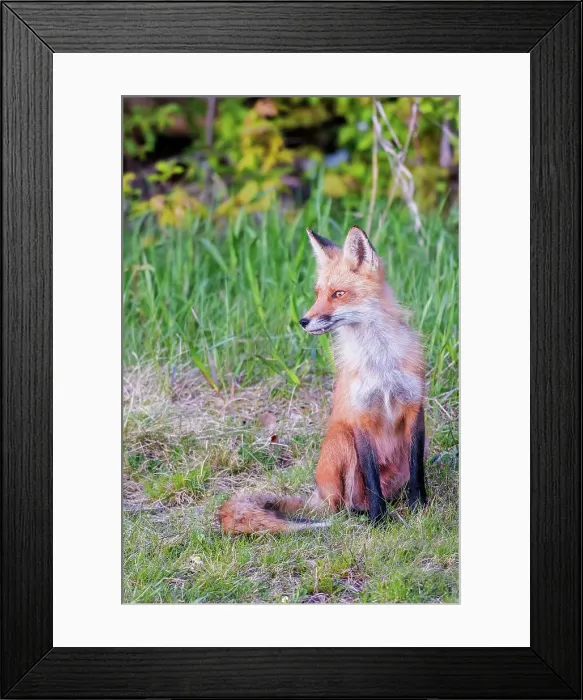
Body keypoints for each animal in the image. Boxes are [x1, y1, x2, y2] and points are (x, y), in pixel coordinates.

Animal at [219, 225, 427, 534]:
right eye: (318, 293)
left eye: (338, 293)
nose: (303, 321)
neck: (380, 364)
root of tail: (317, 493)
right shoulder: (360, 417)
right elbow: (372, 480)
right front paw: (379, 521)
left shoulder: (415, 407)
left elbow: (418, 468)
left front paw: (420, 508)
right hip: (342, 439)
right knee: (344, 503)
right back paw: (361, 515)